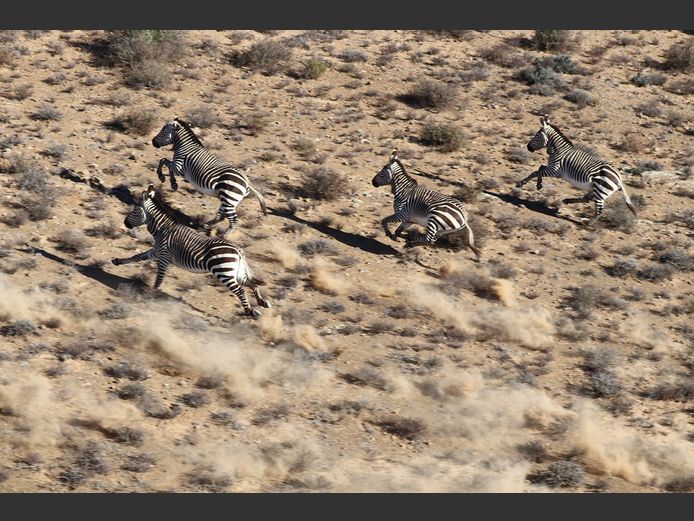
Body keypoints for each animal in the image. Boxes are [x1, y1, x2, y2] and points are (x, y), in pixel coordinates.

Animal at [111, 184, 271, 317]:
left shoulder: (164, 257)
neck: (162, 229)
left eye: (135, 210)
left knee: (241, 290)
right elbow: (136, 256)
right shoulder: (156, 251)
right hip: (236, 273)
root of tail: (238, 250)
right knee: (253, 284)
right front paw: (117, 261)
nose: (125, 223)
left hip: (224, 272)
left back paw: (250, 311)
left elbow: (159, 279)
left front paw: (150, 293)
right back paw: (262, 302)